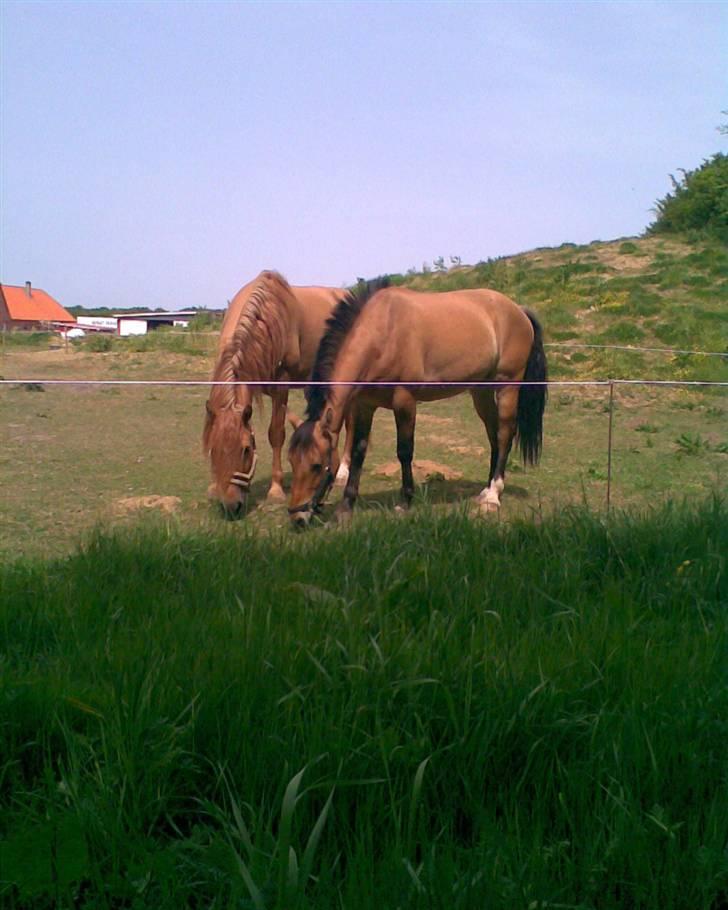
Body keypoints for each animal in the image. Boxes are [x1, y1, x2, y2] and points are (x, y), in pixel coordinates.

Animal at [203, 270, 354, 516]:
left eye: (246, 450)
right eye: (213, 450)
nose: (232, 506)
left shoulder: (281, 386)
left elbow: (276, 434)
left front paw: (275, 490)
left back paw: (343, 471)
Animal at [284, 282, 544, 532]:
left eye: (317, 465)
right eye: (292, 461)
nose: (297, 517)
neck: (382, 333)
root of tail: (518, 310)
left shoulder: (405, 402)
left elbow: (404, 451)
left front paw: (405, 501)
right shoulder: (365, 406)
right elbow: (359, 452)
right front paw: (344, 509)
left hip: (507, 386)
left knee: (504, 434)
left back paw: (493, 495)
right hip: (480, 390)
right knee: (493, 435)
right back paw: (486, 489)